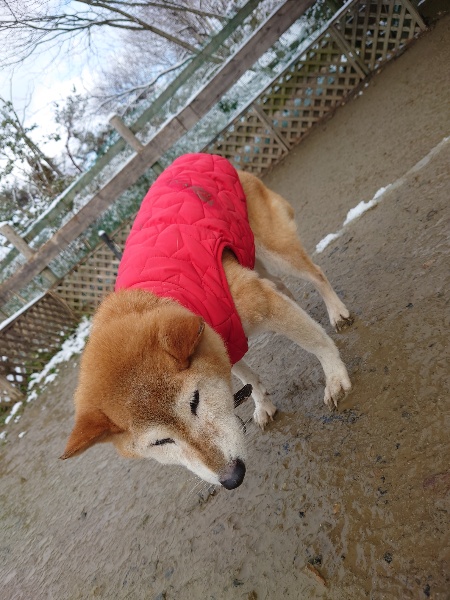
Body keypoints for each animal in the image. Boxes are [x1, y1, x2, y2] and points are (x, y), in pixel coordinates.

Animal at [61, 154, 352, 490]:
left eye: (194, 401)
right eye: (160, 442)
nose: (233, 477)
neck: (173, 295)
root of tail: (195, 156)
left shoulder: (255, 304)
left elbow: (316, 342)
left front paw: (334, 377)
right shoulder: (221, 338)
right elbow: (248, 377)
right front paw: (263, 404)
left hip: (274, 249)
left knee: (316, 273)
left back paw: (336, 312)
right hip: (253, 260)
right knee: (282, 286)